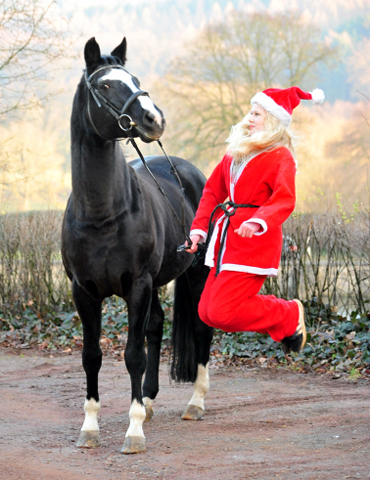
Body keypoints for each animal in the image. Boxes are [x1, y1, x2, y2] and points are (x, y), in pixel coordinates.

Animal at [61, 38, 214, 454]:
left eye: (136, 81)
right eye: (106, 85)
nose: (153, 119)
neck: (101, 213)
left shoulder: (137, 286)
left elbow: (132, 355)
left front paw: (133, 433)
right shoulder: (84, 292)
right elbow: (92, 356)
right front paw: (90, 428)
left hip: (195, 274)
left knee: (200, 330)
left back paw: (195, 403)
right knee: (157, 325)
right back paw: (146, 400)